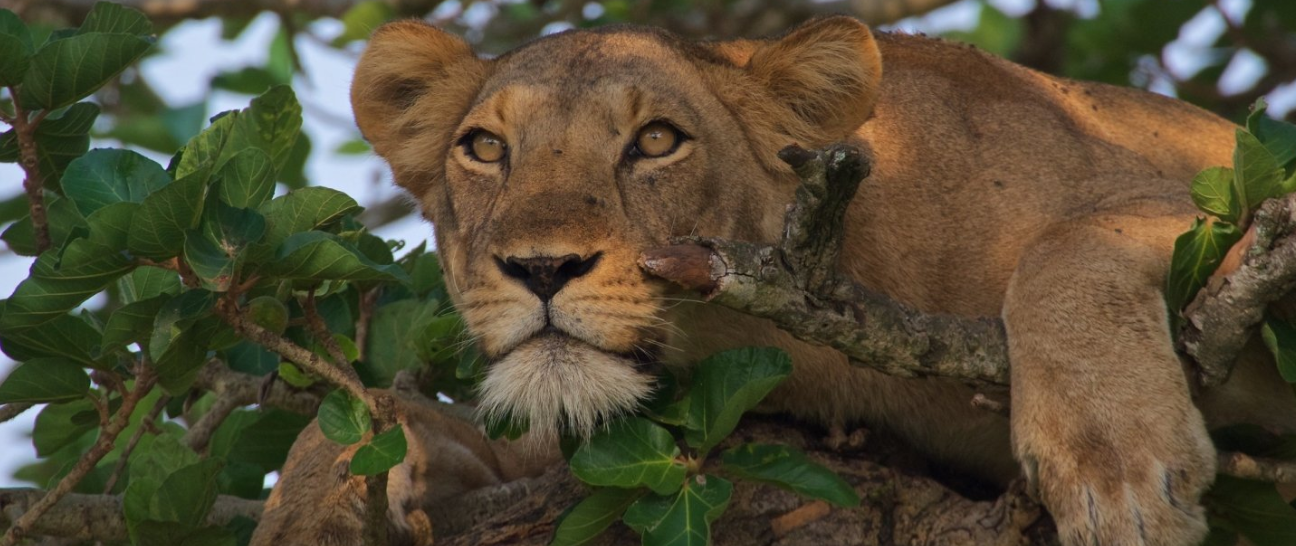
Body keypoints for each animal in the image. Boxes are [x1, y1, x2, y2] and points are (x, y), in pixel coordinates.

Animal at [250, 16, 1296, 546]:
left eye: (656, 141)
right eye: (484, 149)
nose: (541, 268)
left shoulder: (1208, 193)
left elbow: (1067, 251)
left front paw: (1115, 469)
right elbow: (368, 421)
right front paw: (312, 504)